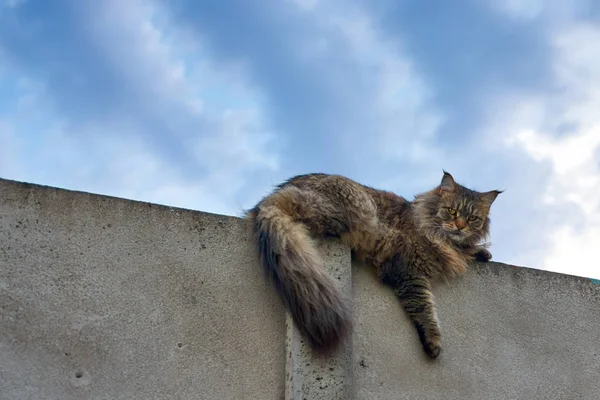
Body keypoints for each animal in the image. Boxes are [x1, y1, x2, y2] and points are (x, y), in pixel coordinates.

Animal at [245, 170, 502, 358]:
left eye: (473, 218)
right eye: (452, 211)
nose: (460, 226)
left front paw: (481, 252)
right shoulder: (409, 269)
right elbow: (424, 308)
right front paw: (433, 341)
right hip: (354, 207)